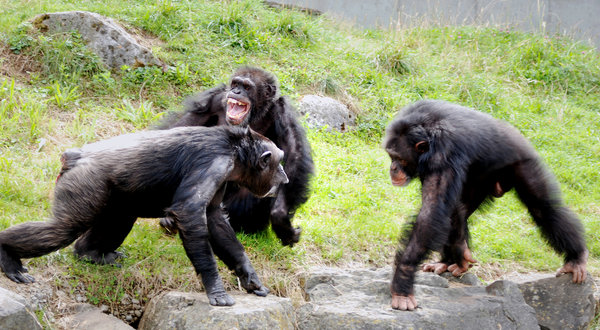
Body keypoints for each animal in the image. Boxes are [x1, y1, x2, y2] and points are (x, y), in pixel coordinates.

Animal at [0, 126, 288, 306]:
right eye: (278, 162)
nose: (284, 177)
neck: (236, 152)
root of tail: (73, 155)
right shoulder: (213, 163)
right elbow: (190, 213)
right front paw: (216, 290)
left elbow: (215, 220)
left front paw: (249, 276)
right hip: (84, 183)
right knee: (63, 227)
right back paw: (8, 258)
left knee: (120, 217)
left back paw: (90, 254)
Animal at [159, 67, 314, 246]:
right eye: (235, 84)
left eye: (247, 87)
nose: (236, 91)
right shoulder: (213, 100)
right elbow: (181, 127)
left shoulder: (282, 112)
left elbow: (293, 153)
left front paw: (281, 218)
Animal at [384, 99, 584, 310]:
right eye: (391, 156)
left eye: (400, 158)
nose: (393, 168)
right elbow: (444, 208)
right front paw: (460, 253)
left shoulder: (442, 156)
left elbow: (431, 215)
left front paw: (402, 283)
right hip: (480, 181)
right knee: (460, 209)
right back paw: (447, 261)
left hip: (525, 162)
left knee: (543, 208)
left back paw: (576, 259)